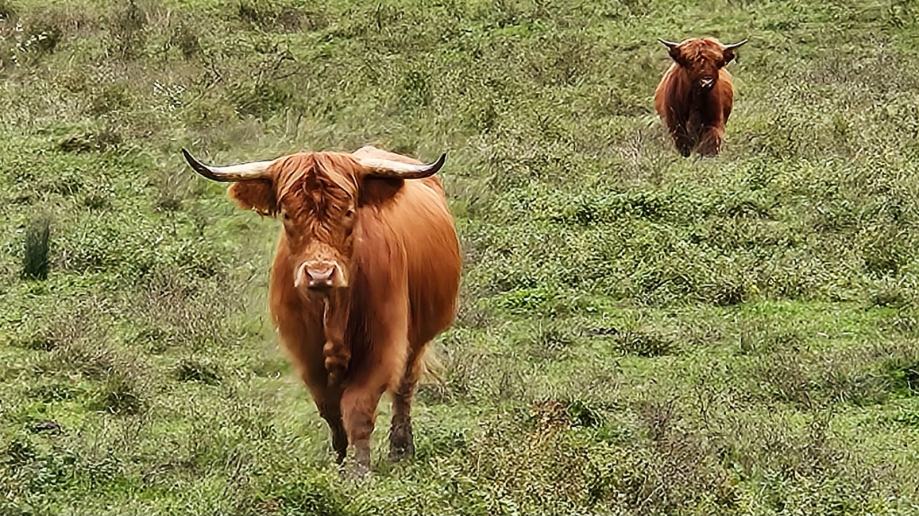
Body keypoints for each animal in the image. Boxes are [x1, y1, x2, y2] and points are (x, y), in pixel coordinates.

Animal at [183, 144, 464, 476]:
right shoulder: (306, 352)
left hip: (418, 335)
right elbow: (330, 410)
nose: (320, 274)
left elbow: (358, 407)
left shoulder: (382, 346)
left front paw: (359, 470)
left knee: (405, 386)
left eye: (349, 211)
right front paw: (339, 463)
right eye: (287, 214)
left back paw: (400, 449)